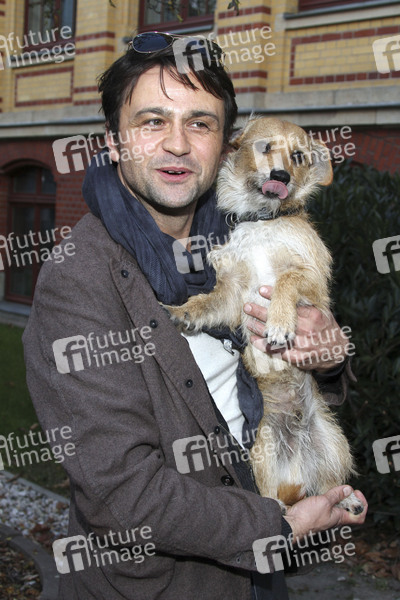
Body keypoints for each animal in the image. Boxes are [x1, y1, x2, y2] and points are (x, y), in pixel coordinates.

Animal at [166, 117, 364, 516]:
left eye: (299, 155)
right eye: (264, 147)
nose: (281, 176)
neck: (262, 222)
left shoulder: (313, 283)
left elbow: (286, 279)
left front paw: (279, 323)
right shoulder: (231, 293)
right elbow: (208, 302)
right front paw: (184, 311)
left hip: (335, 442)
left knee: (329, 483)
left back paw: (346, 497)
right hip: (264, 452)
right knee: (274, 495)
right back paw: (282, 513)